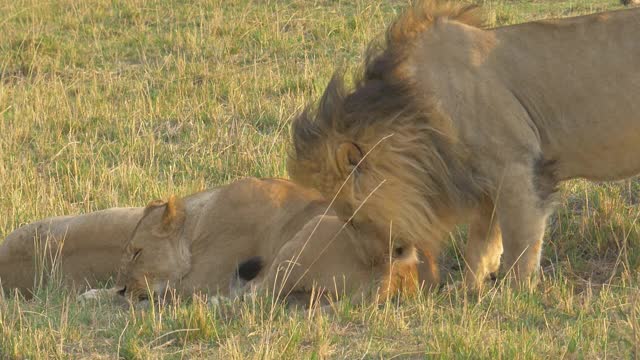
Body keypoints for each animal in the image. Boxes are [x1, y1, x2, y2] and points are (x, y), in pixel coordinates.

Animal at [290, 0, 640, 290]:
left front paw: (516, 292)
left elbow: (520, 239)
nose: (373, 262)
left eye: (351, 216)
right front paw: (469, 290)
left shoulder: (516, 165)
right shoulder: (482, 181)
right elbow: (481, 243)